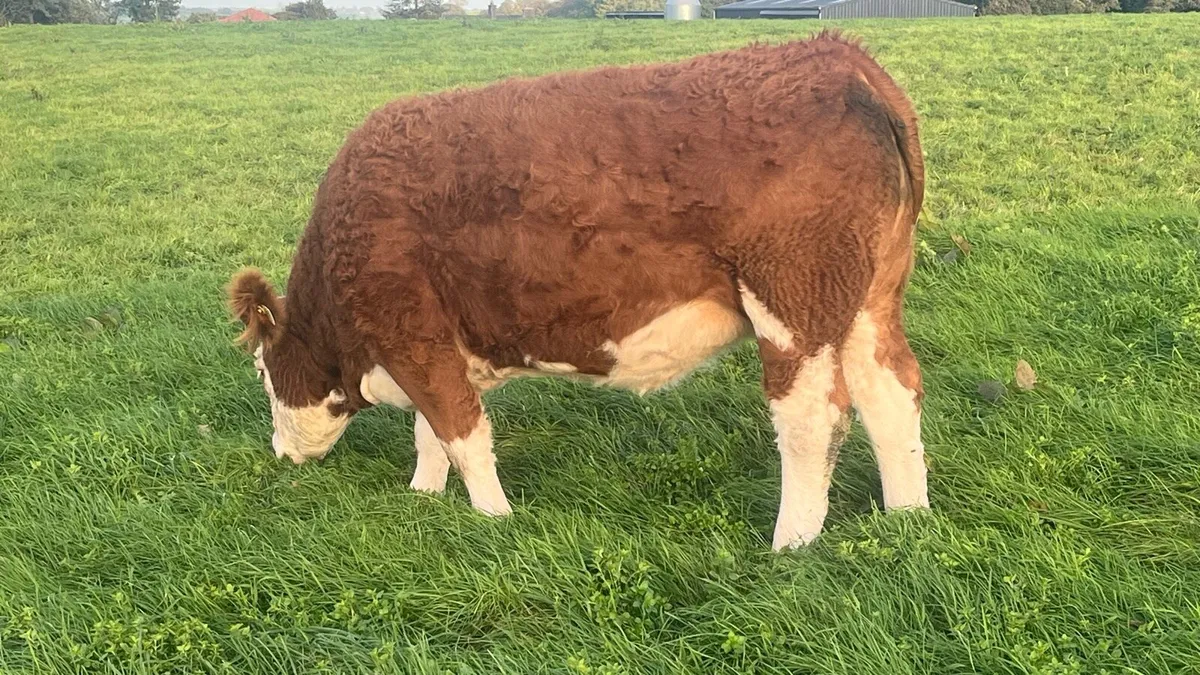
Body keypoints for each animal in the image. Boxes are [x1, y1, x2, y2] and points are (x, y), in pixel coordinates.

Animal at [227, 31, 929, 551]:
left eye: (262, 372)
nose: (279, 453)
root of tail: (840, 57)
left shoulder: (411, 333)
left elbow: (461, 434)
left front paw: (493, 519)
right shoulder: (434, 346)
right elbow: (433, 434)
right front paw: (423, 498)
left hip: (794, 302)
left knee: (814, 418)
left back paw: (792, 544)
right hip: (868, 299)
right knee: (891, 390)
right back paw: (908, 519)